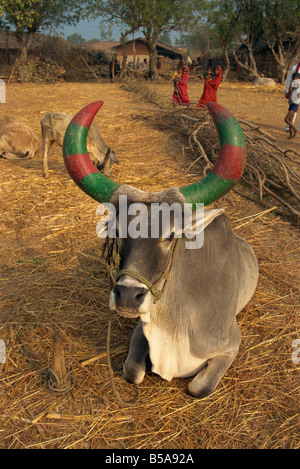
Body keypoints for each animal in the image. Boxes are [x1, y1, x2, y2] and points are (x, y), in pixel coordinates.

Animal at [62, 100, 258, 396]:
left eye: (171, 235)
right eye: (117, 231)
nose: (127, 296)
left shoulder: (231, 345)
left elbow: (198, 387)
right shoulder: (141, 330)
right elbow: (132, 372)